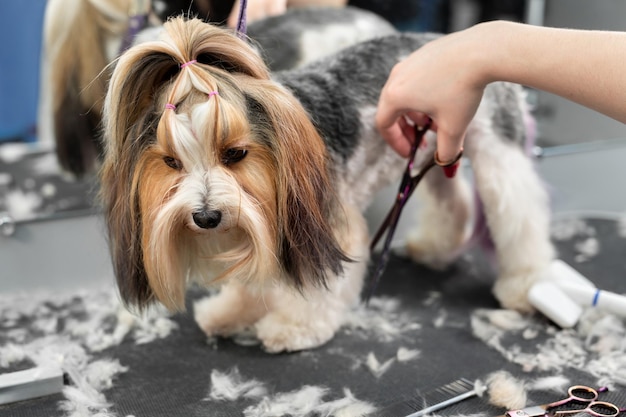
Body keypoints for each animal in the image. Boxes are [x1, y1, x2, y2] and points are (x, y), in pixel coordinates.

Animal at [100, 17, 552, 352]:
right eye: (171, 162)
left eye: (235, 153)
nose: (206, 216)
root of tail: (447, 38)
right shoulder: (259, 225)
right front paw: (231, 312)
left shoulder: (322, 227)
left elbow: (316, 288)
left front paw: (293, 327)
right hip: (433, 146)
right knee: (454, 204)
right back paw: (434, 247)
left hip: (497, 150)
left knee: (521, 218)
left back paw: (524, 285)